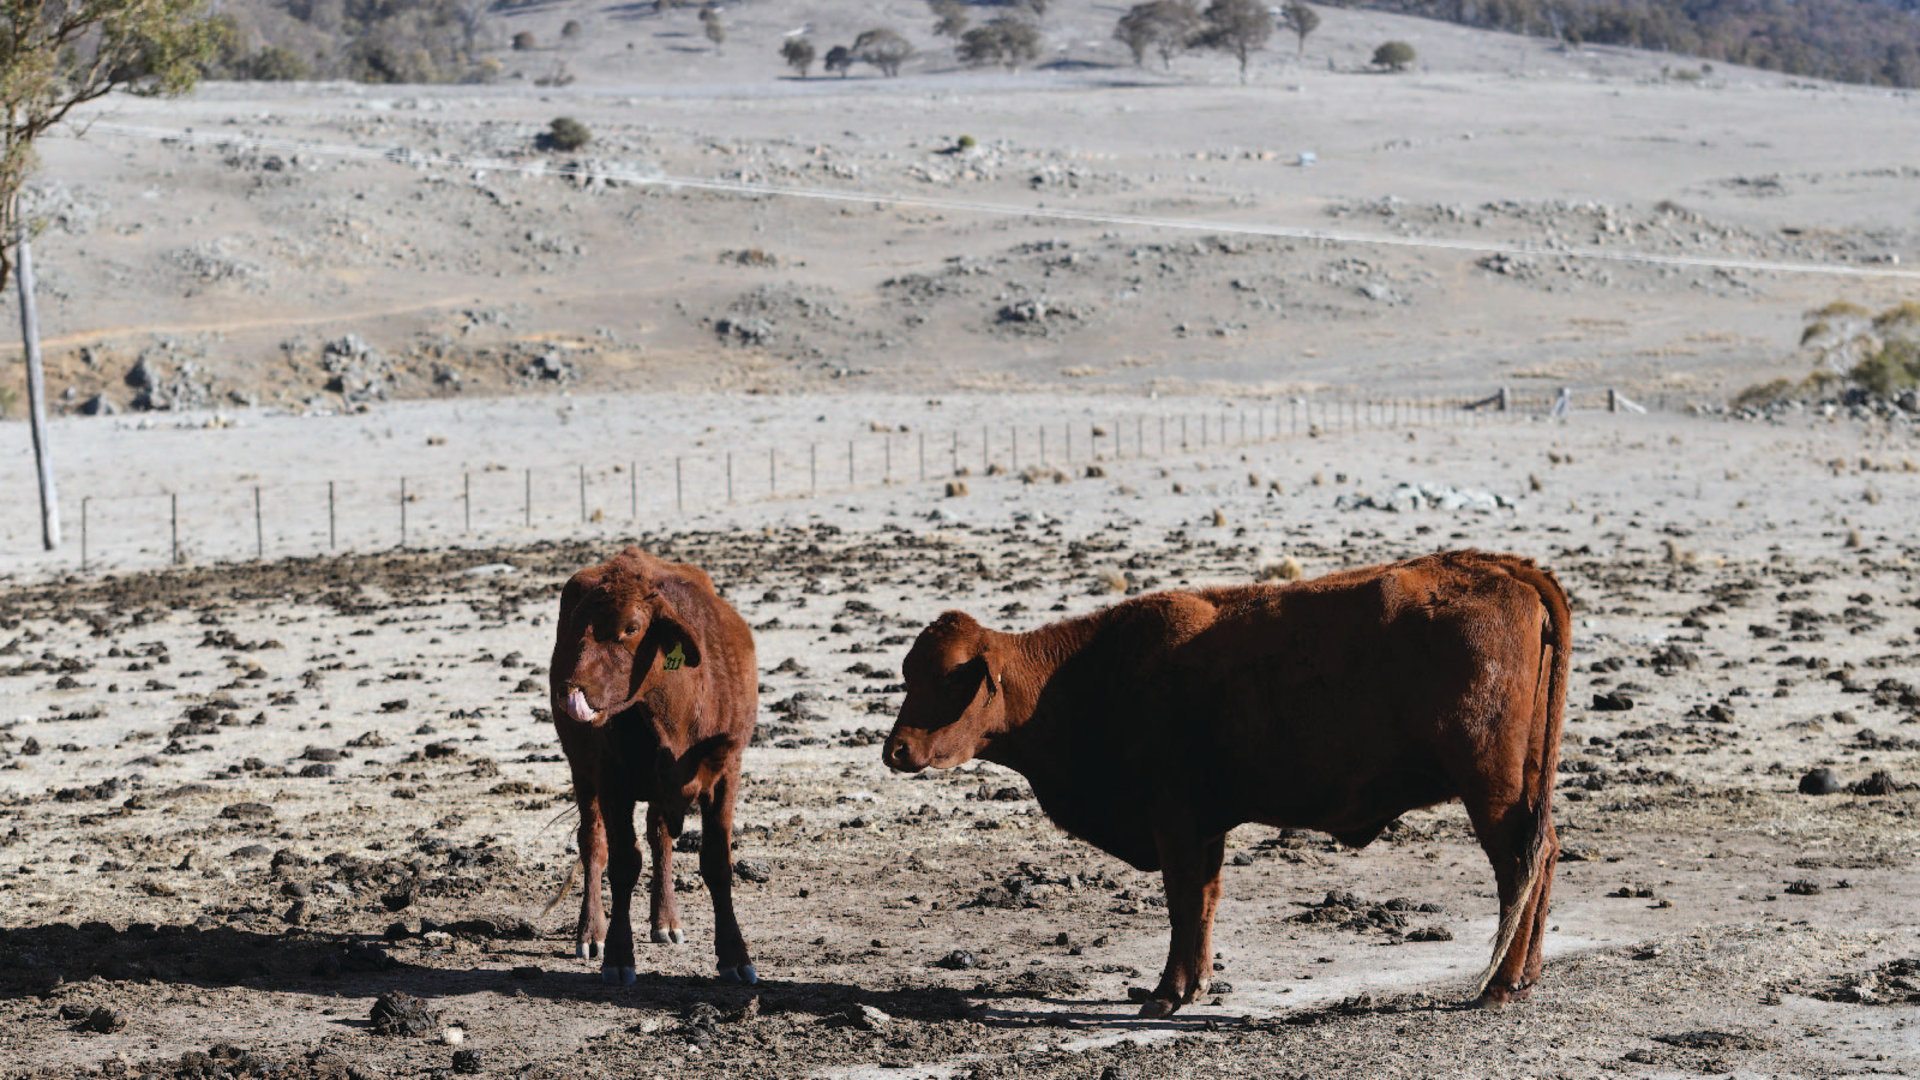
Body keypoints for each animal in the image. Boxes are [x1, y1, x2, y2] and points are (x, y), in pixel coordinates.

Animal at [548, 546, 758, 986]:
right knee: (593, 843)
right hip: (582, 771)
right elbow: (623, 863)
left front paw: (734, 955)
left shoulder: (727, 772)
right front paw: (617, 955)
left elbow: (717, 863)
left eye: (631, 627)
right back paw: (591, 931)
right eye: (575, 625)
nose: (569, 689)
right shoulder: (611, 781)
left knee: (659, 836)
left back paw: (666, 920)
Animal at [883, 550, 1570, 1017]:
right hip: (1524, 787)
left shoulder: (1176, 826)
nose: (896, 751)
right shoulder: (1206, 828)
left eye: (948, 678)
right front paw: (1196, 984)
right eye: (909, 673)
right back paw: (1527, 976)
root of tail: (1505, 569)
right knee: (1545, 857)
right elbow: (1205, 903)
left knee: (1517, 865)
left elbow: (1184, 903)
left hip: (1491, 791)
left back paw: (1499, 985)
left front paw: (1165, 994)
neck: (1086, 674)